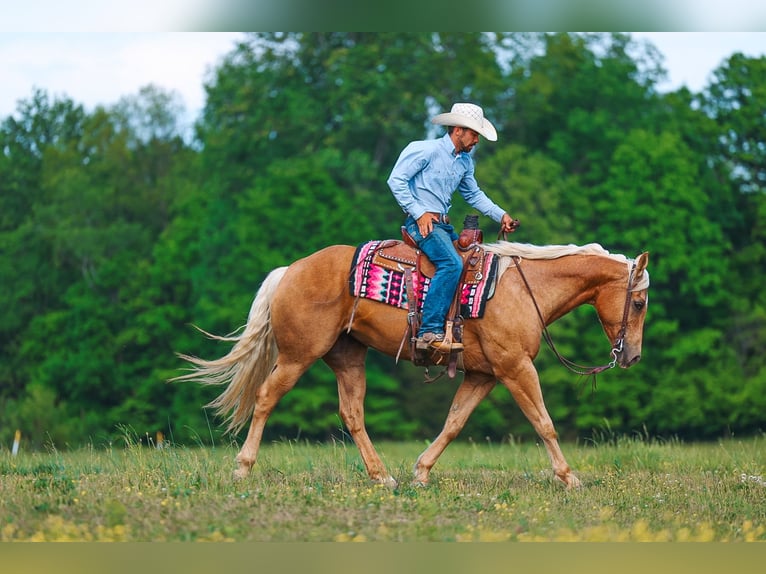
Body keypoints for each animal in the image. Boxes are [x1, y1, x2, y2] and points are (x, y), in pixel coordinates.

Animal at [173, 240, 649, 489]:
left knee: (352, 413)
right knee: (267, 396)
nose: (632, 356)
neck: (521, 288)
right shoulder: (516, 368)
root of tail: (289, 270)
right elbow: (543, 422)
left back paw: (383, 476)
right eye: (640, 301)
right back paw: (242, 467)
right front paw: (569, 477)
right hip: (297, 355)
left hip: (348, 357)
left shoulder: (484, 374)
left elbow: (455, 422)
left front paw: (421, 471)